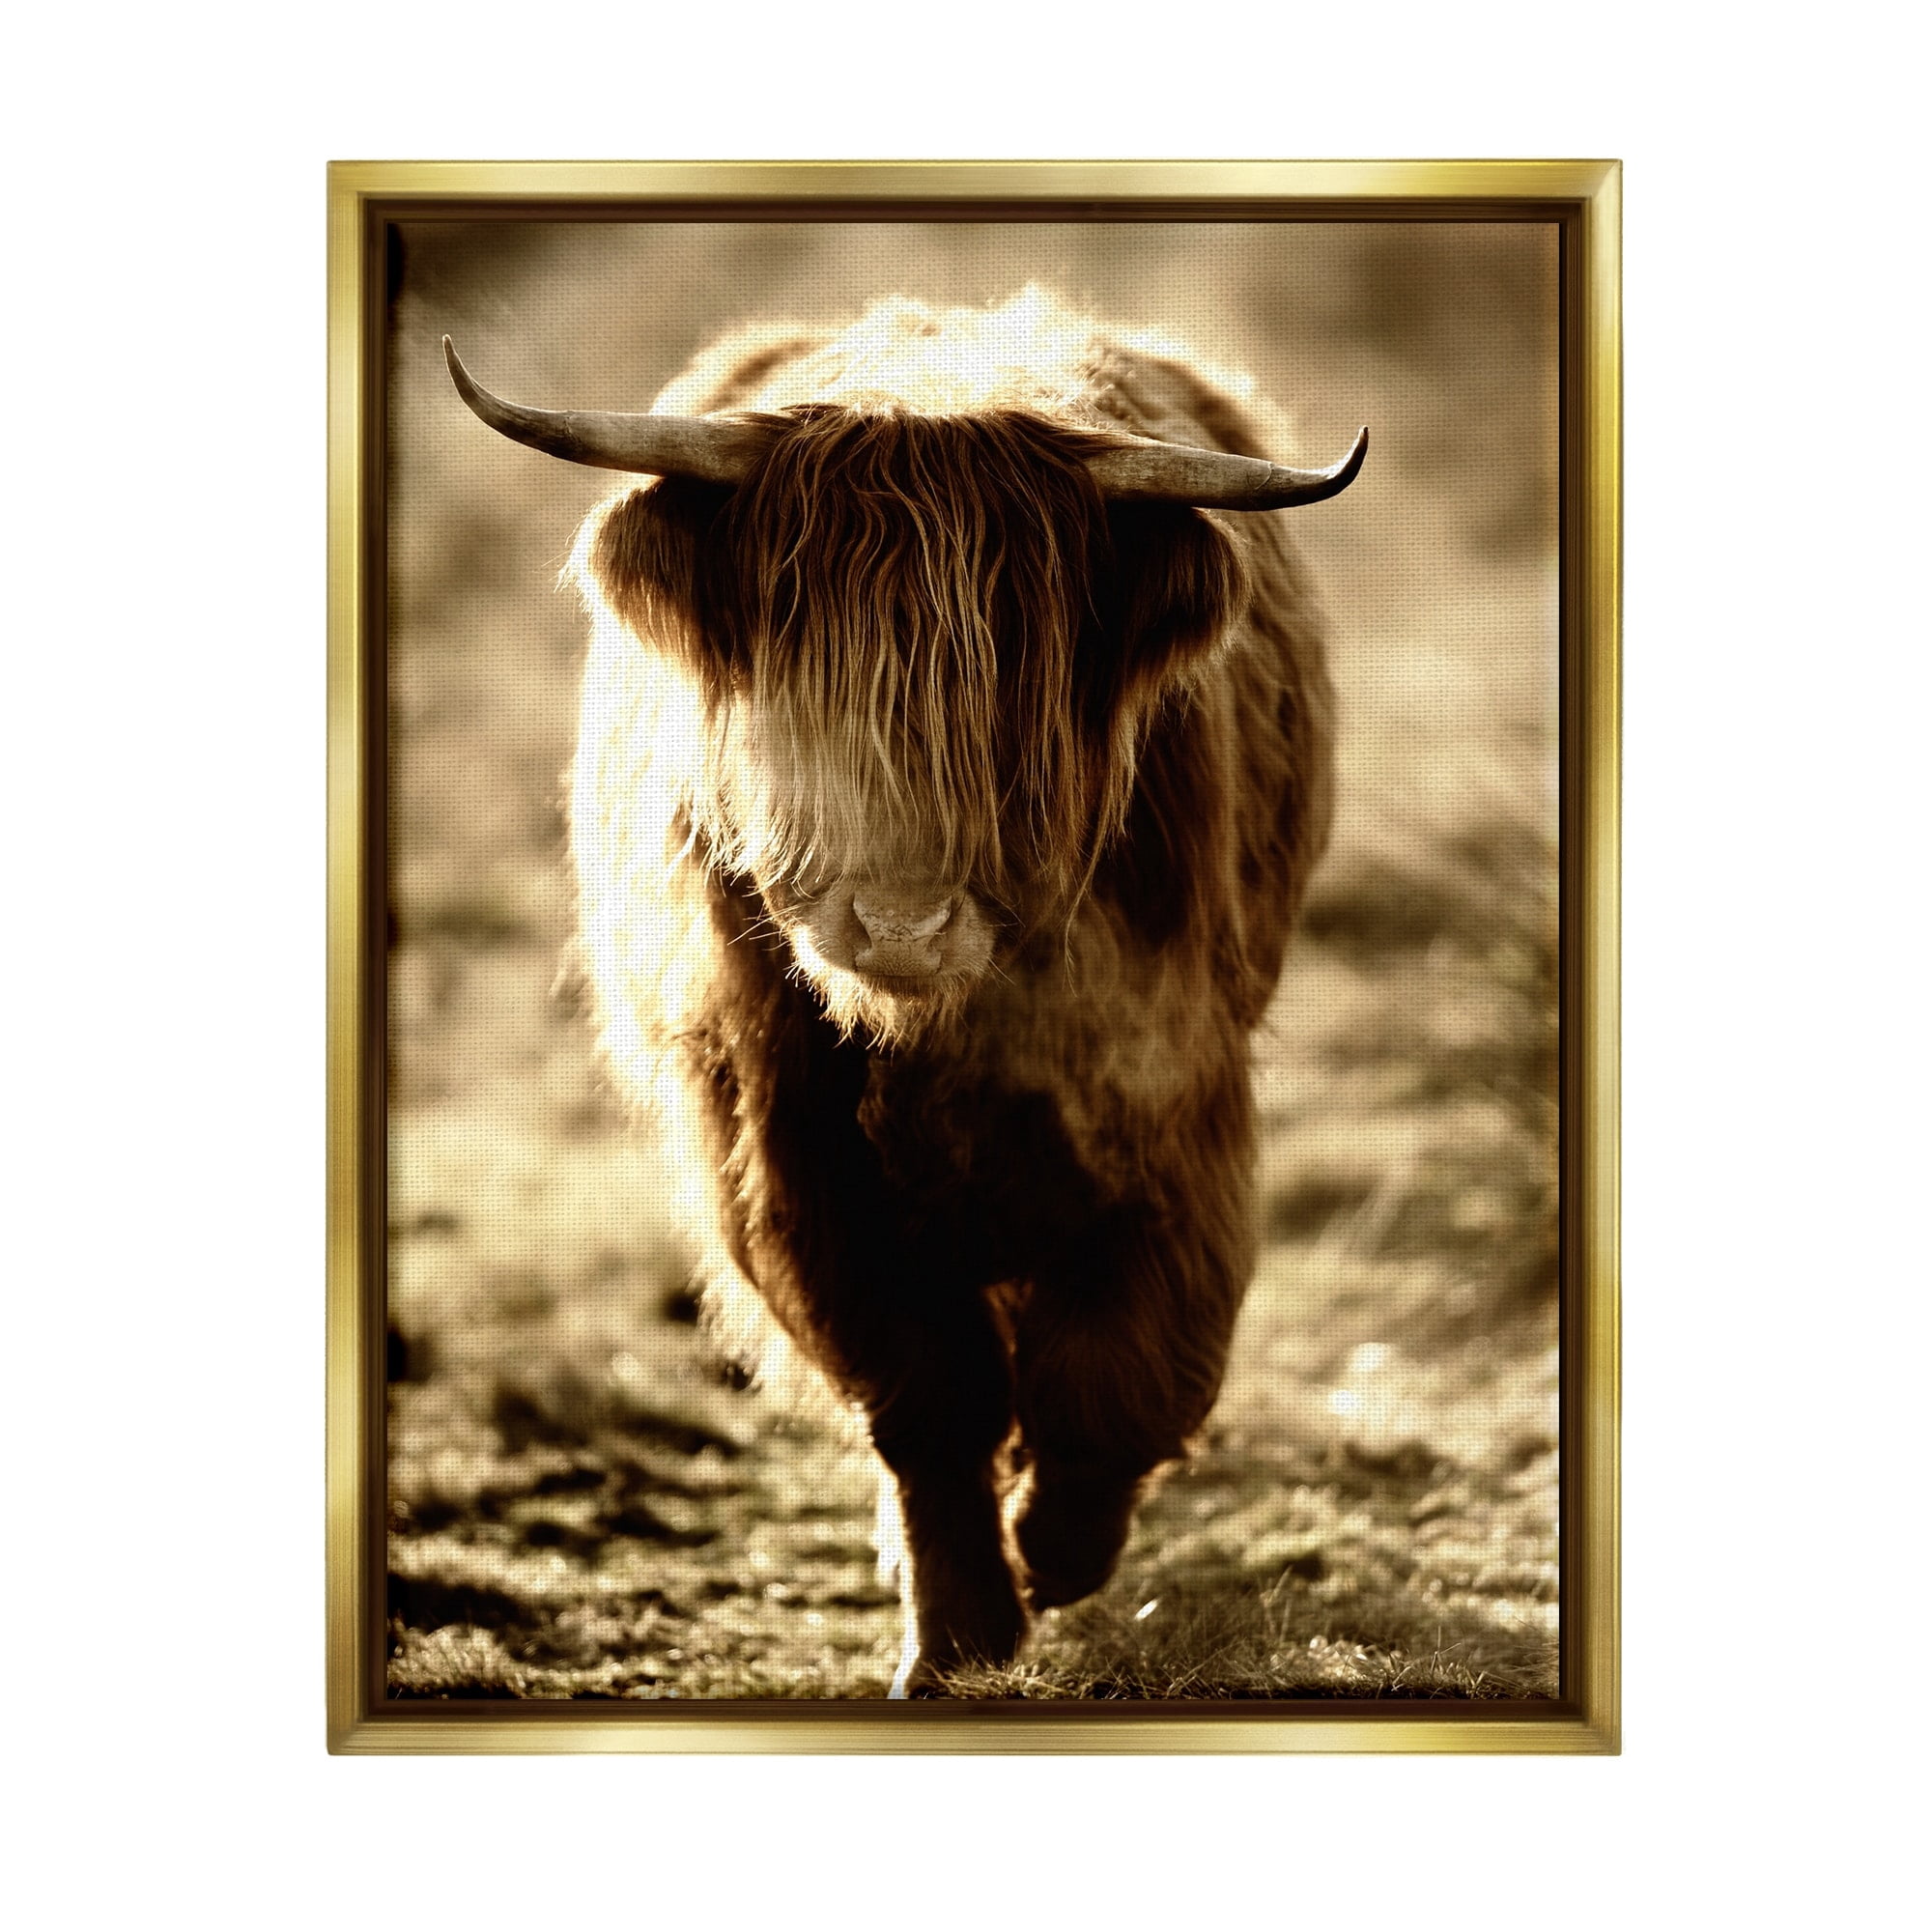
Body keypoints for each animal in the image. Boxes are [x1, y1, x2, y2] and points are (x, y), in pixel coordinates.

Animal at [443, 289, 1365, 1695]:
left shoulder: (1169, 1100)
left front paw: (1059, 1549)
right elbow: (924, 1389)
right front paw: (960, 1637)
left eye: (1016, 678)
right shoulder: (786, 1144)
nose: (899, 919)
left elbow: (1122, 1371)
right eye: (798, 669)